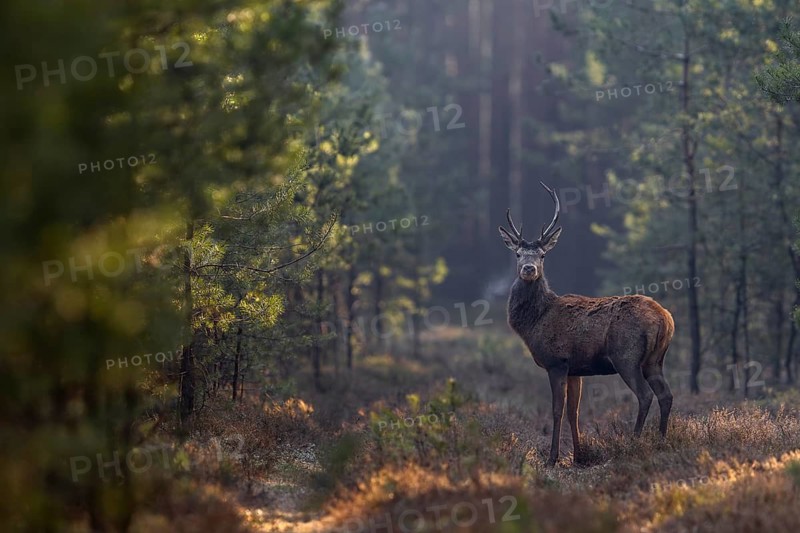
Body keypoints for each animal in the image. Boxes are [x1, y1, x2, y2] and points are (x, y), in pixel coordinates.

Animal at [499, 182, 675, 466]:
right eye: (517, 253)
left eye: (543, 255)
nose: (528, 269)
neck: (535, 322)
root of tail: (665, 318)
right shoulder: (576, 369)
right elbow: (574, 411)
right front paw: (579, 455)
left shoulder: (557, 362)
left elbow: (557, 410)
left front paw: (553, 458)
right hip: (655, 359)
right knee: (666, 395)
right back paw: (661, 441)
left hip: (626, 356)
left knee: (645, 395)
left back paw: (634, 441)